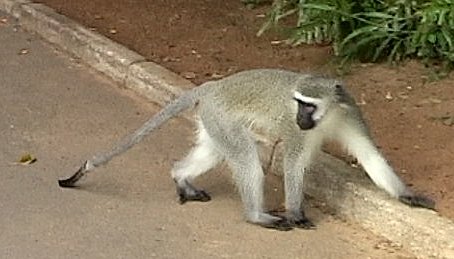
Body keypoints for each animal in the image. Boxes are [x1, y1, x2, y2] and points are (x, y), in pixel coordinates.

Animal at [58, 68, 434, 232]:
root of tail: (212, 86)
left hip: (213, 120)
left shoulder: (351, 113)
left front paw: (408, 196)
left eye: (308, 105)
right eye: (298, 104)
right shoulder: (295, 132)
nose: (300, 118)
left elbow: (370, 157)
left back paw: (181, 178)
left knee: (213, 152)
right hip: (221, 117)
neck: (329, 116)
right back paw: (257, 216)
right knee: (248, 162)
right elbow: (292, 165)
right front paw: (296, 212)